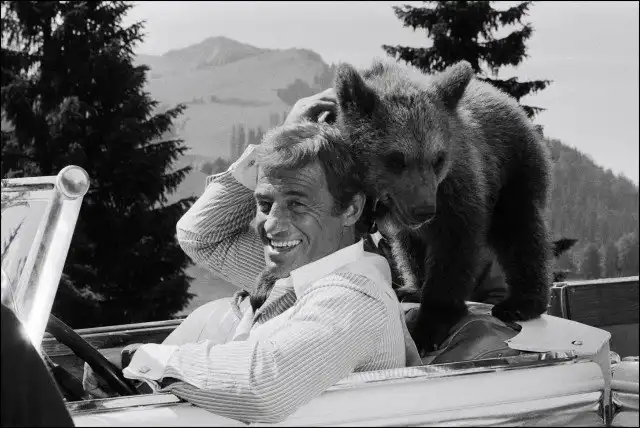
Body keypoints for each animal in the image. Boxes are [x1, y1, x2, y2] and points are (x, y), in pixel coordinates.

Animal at [334, 58, 554, 354]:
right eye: (396, 159)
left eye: (438, 158)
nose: (424, 209)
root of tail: (507, 100)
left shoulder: (457, 187)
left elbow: (454, 249)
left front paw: (429, 326)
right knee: (408, 245)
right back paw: (413, 286)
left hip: (513, 168)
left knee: (520, 230)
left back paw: (521, 302)